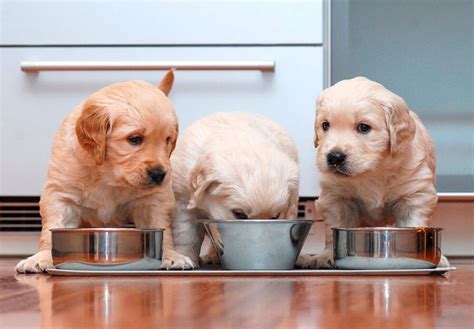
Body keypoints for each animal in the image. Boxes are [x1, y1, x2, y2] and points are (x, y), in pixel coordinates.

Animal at [16, 70, 194, 272]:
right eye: (135, 139)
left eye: (168, 140)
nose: (159, 174)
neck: (109, 175)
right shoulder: (60, 194)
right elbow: (51, 228)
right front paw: (43, 257)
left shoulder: (153, 199)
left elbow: (160, 227)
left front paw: (171, 255)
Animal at [300, 77, 440, 270]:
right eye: (325, 125)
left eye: (364, 127)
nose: (334, 157)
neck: (372, 171)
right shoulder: (336, 198)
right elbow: (333, 228)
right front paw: (327, 256)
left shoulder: (414, 195)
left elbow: (413, 223)